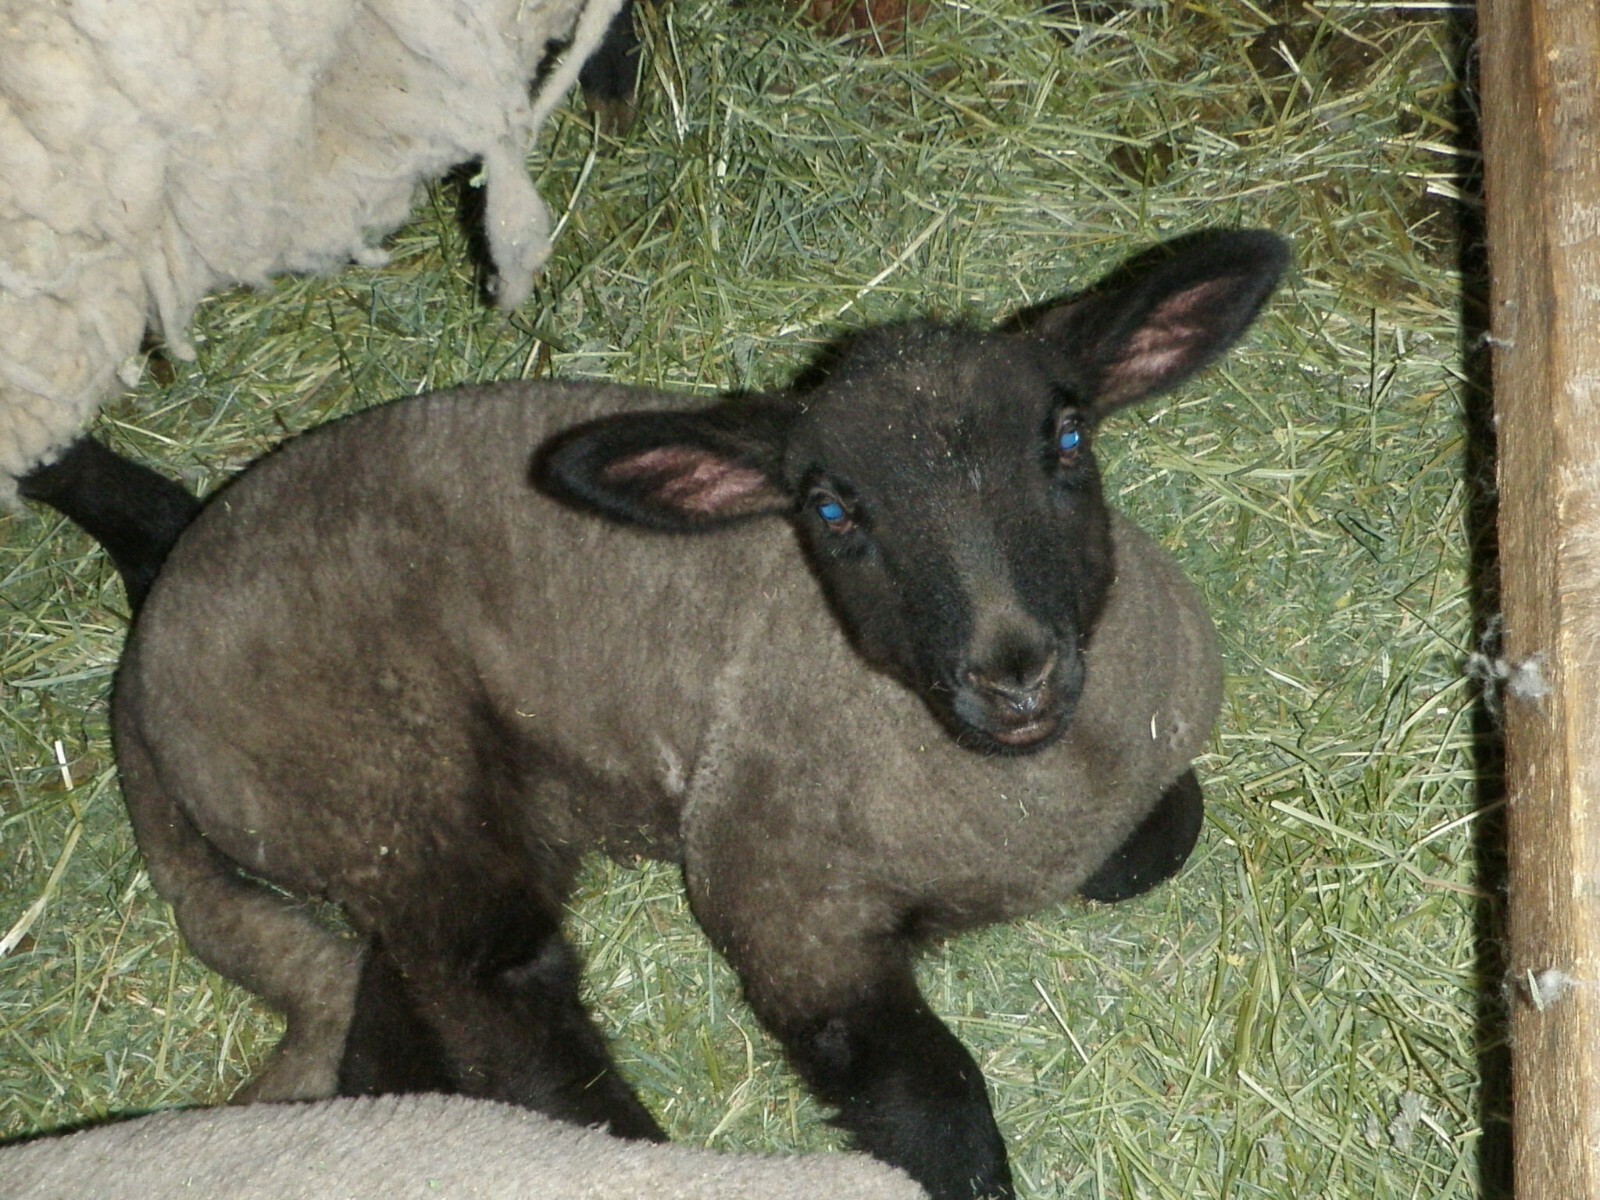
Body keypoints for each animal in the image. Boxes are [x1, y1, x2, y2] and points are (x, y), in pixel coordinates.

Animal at [77, 231, 1285, 1200]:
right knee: (504, 998)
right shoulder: (779, 902)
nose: (1013, 675)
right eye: (832, 509)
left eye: (1068, 440)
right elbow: (930, 1099)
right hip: (389, 785)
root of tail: (147, 646)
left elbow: (1163, 839)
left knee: (396, 1032)